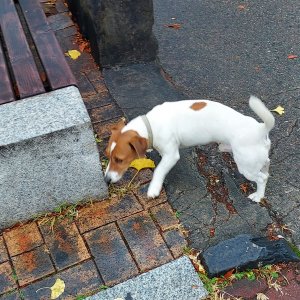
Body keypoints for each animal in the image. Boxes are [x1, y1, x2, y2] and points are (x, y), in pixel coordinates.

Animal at [105, 96, 274, 203]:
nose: (106, 180)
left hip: (246, 166)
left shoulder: (171, 155)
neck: (151, 125)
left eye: (119, 160)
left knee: (262, 178)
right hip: (252, 157)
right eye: (107, 156)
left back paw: (259, 196)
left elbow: (159, 170)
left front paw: (154, 188)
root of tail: (260, 128)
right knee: (266, 165)